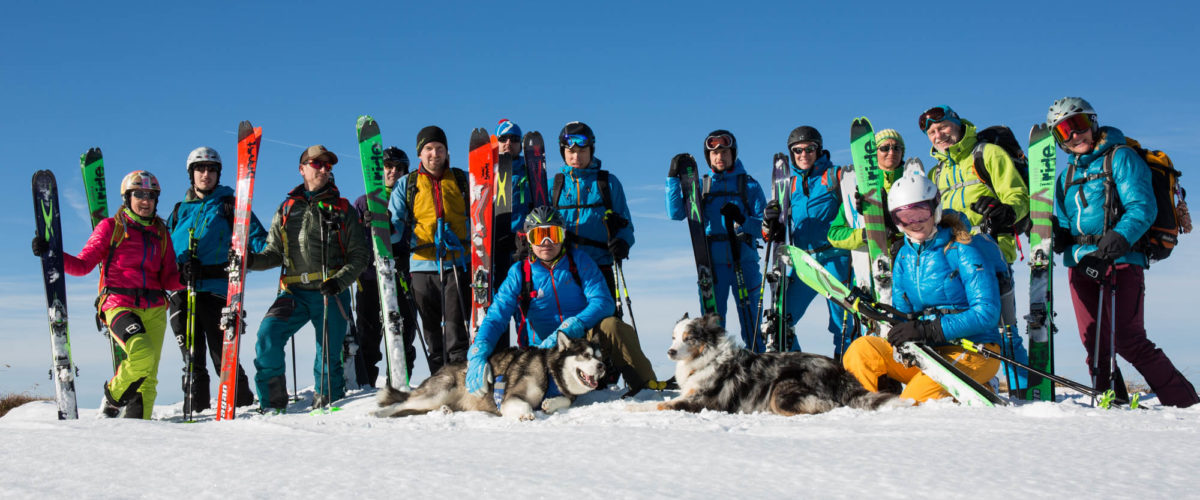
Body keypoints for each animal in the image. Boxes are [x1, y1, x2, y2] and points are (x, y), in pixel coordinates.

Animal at [374, 330, 604, 422]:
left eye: (601, 356)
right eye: (586, 355)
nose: (602, 366)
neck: (551, 373)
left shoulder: (566, 395)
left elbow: (564, 400)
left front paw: (550, 403)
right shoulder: (510, 398)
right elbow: (525, 405)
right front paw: (527, 414)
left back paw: (446, 410)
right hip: (437, 393)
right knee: (402, 404)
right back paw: (379, 413)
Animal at [628, 311, 907, 412]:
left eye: (689, 338)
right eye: (674, 337)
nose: (670, 351)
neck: (708, 358)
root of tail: (838, 371)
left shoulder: (704, 401)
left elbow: (659, 406)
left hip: (781, 391)